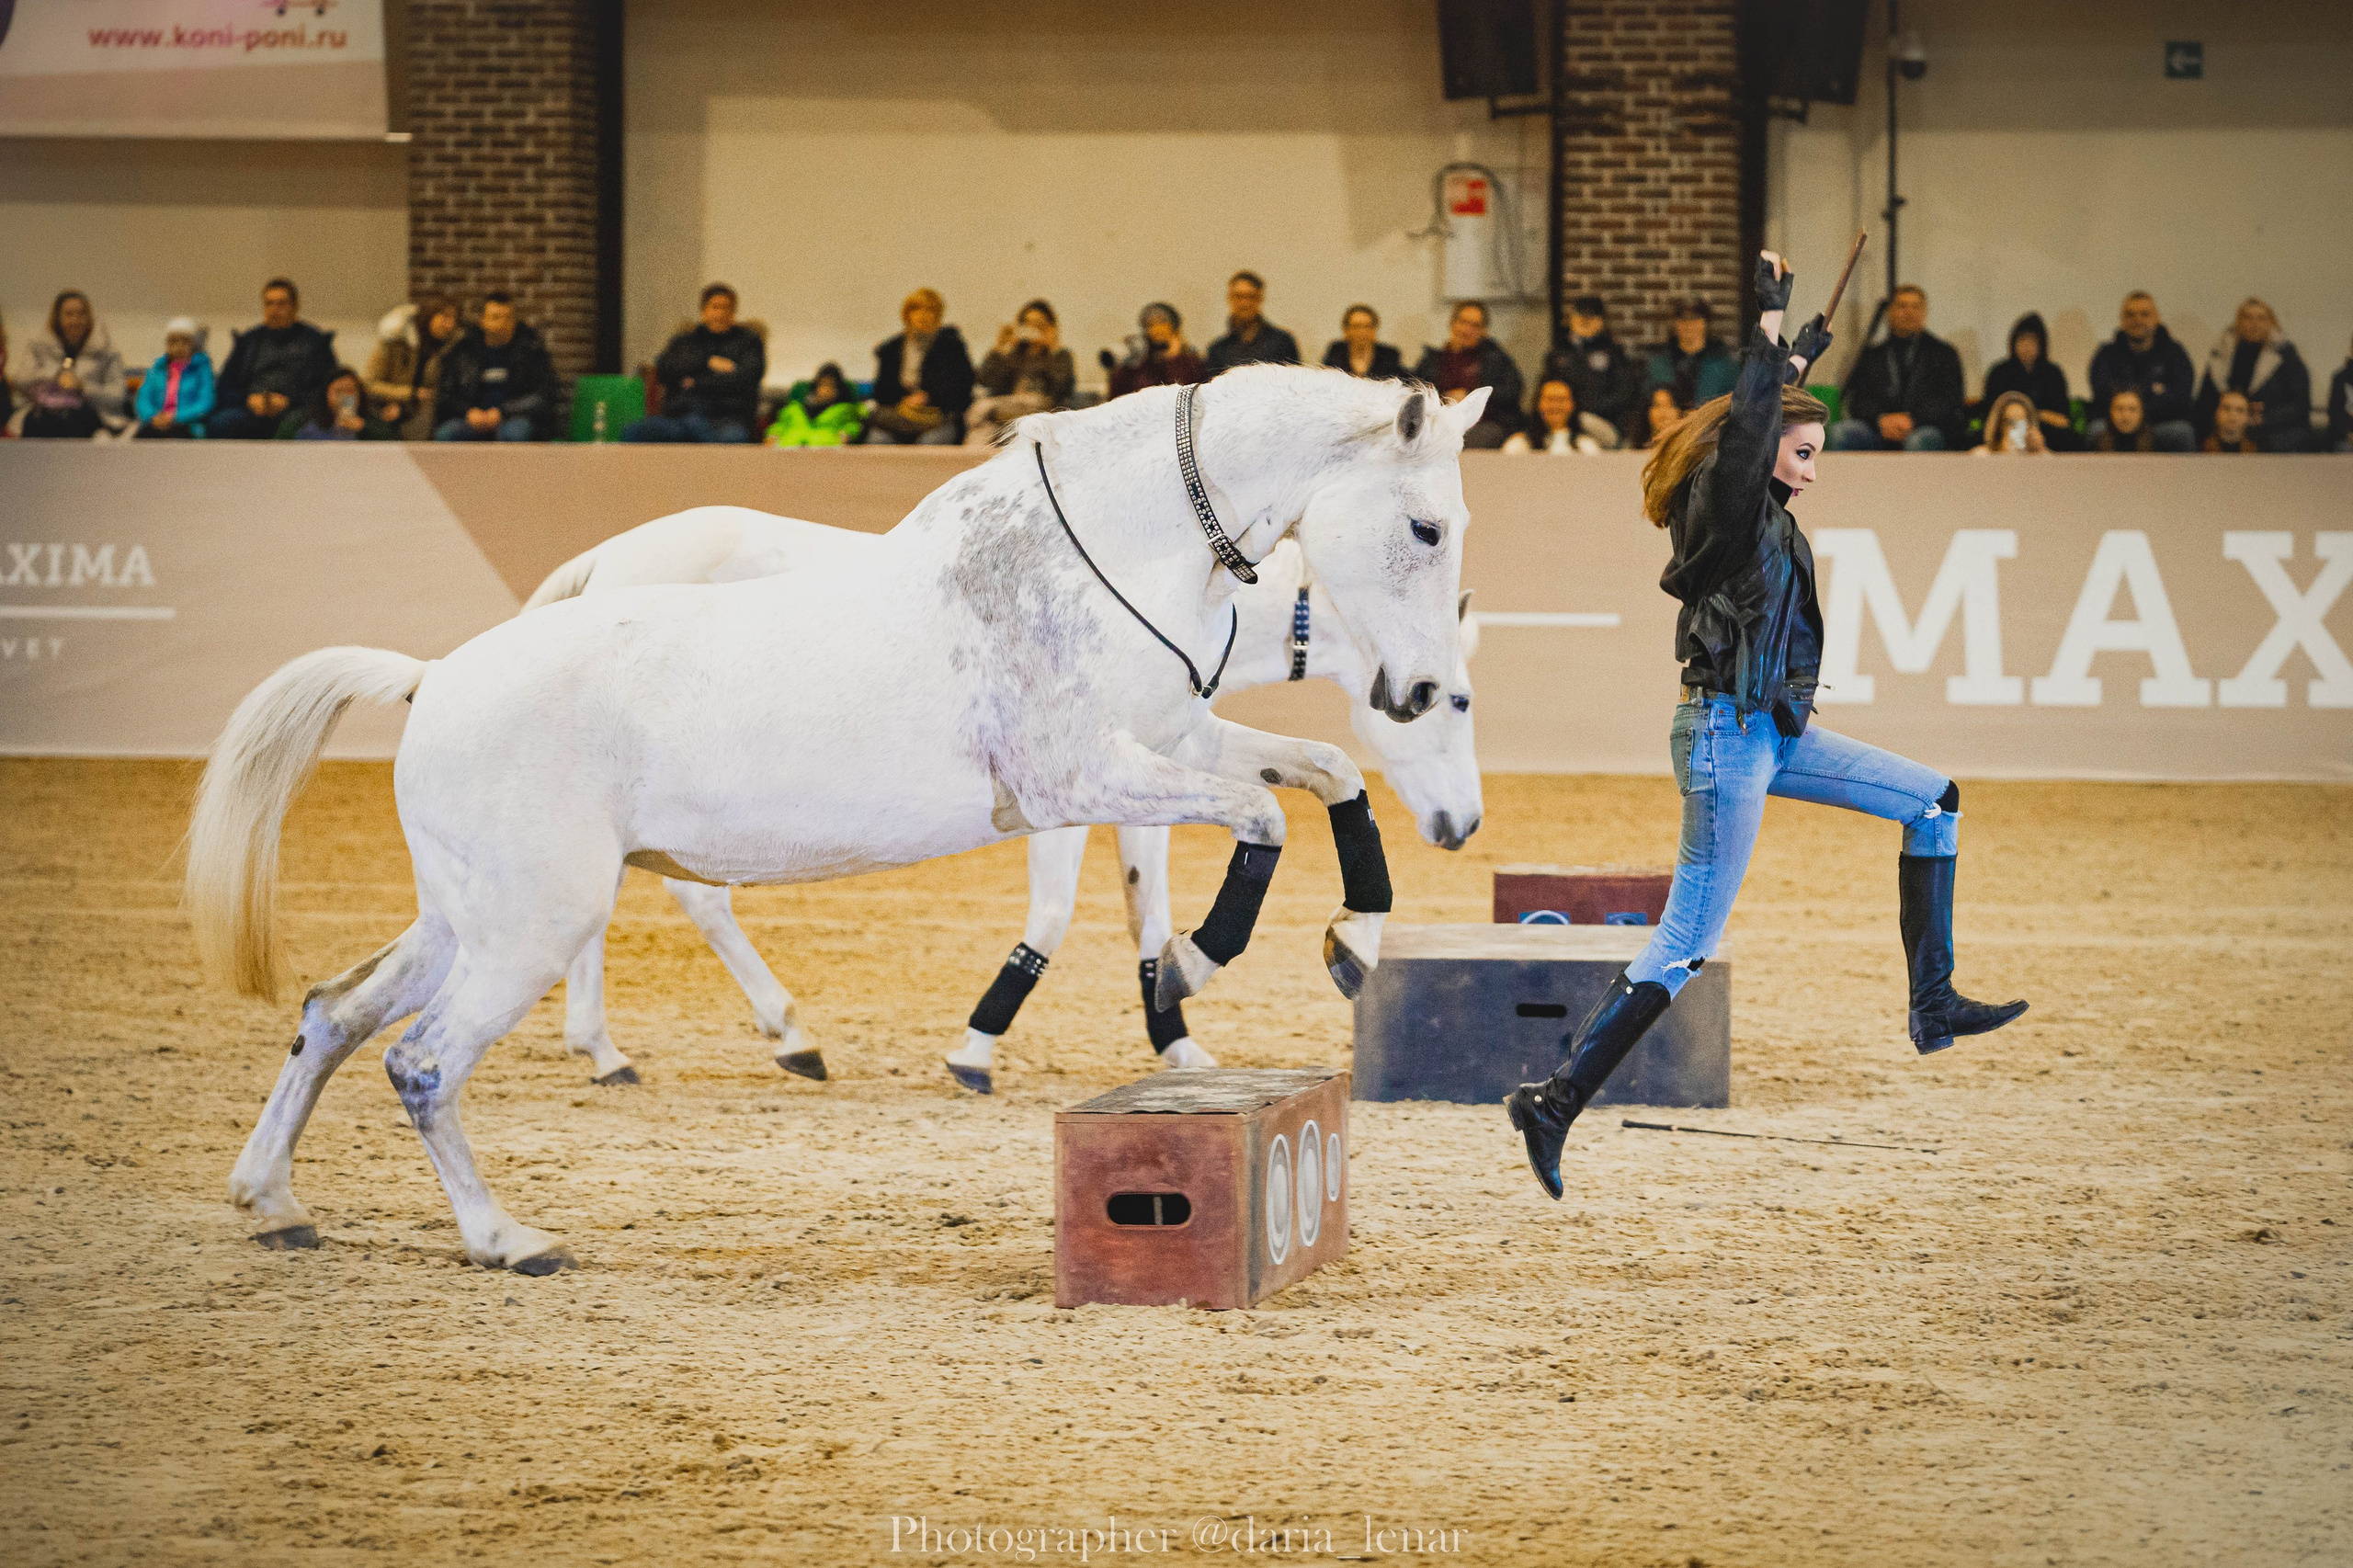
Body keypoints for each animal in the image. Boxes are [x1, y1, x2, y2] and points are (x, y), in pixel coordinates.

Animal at [522, 505, 1486, 1094]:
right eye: (1456, 700)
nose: (1463, 825)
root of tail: (607, 559)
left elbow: (1148, 910)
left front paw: (1176, 1035)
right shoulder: (1067, 791)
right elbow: (1053, 917)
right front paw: (976, 1047)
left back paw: (610, 1048)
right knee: (683, 899)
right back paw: (768, 1034)